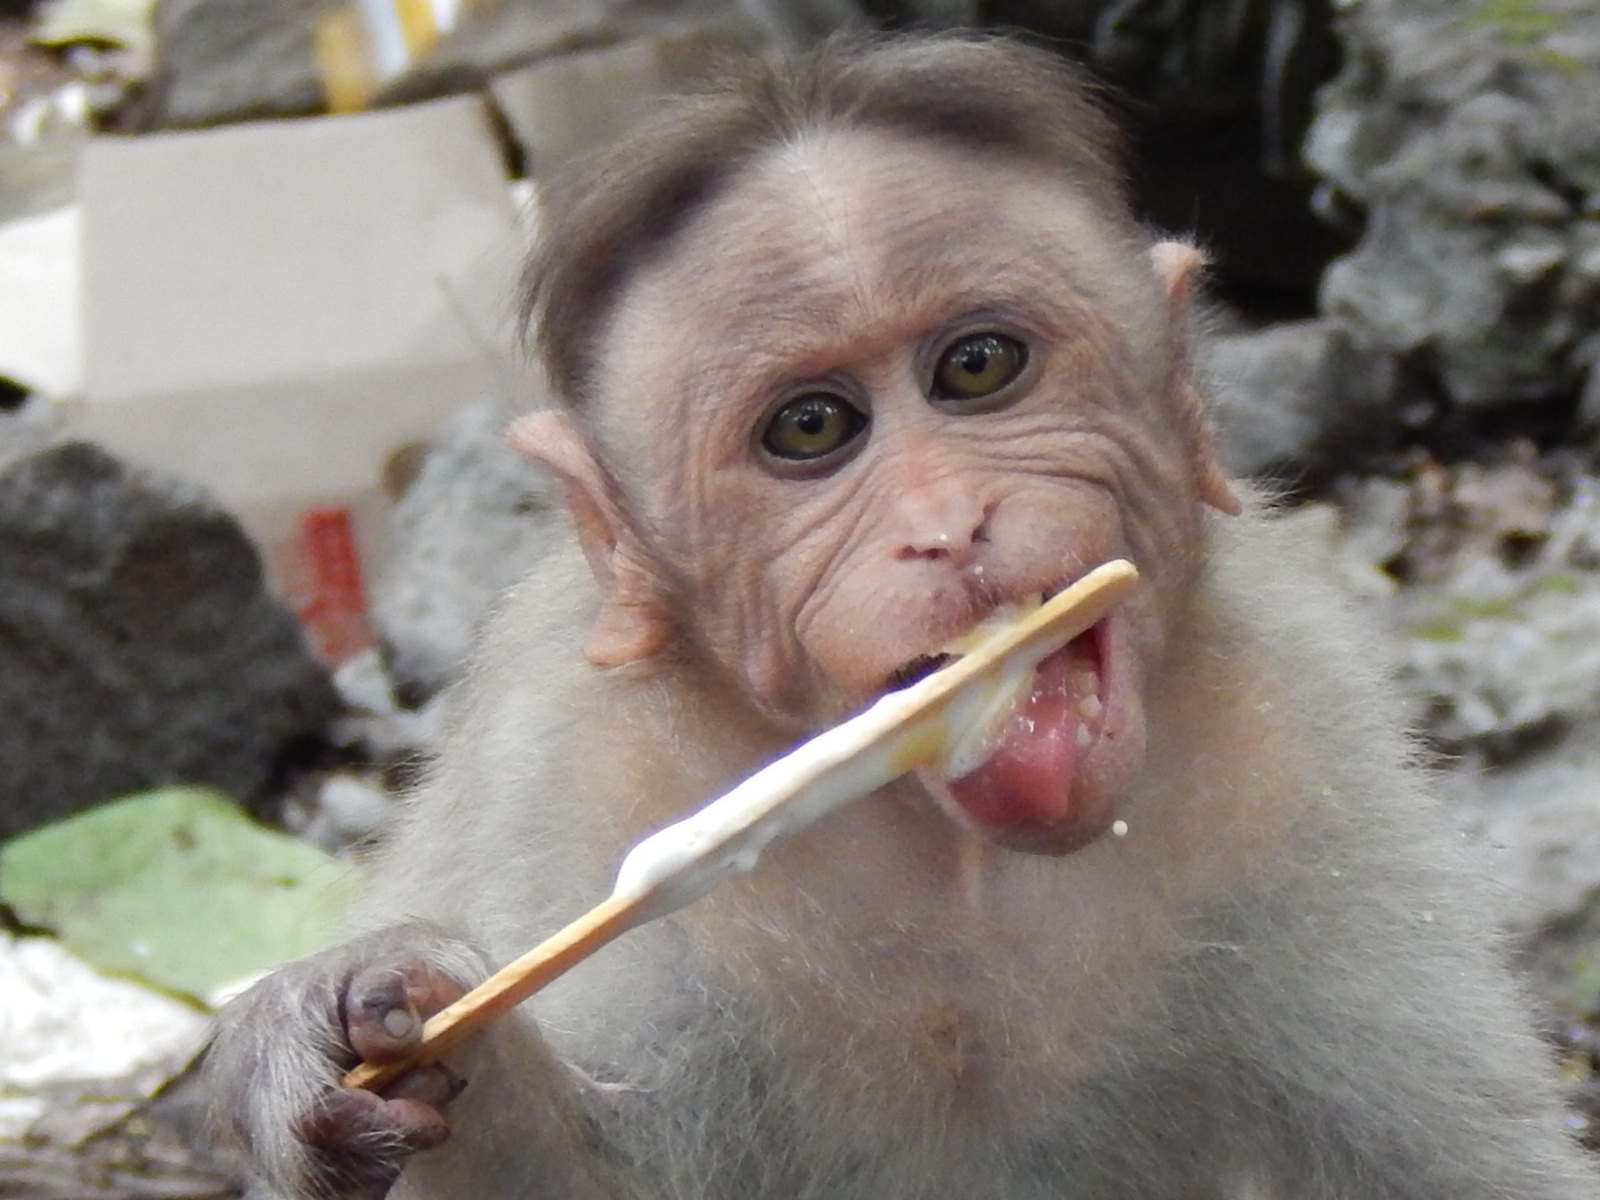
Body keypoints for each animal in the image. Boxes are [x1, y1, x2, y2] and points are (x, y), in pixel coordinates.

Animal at [199, 34, 1600, 1200]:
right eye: (811, 429)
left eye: (977, 367)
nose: (949, 524)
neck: (957, 848)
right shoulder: (574, 762)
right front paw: (378, 1024)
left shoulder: (1296, 728)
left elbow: (1459, 1172)